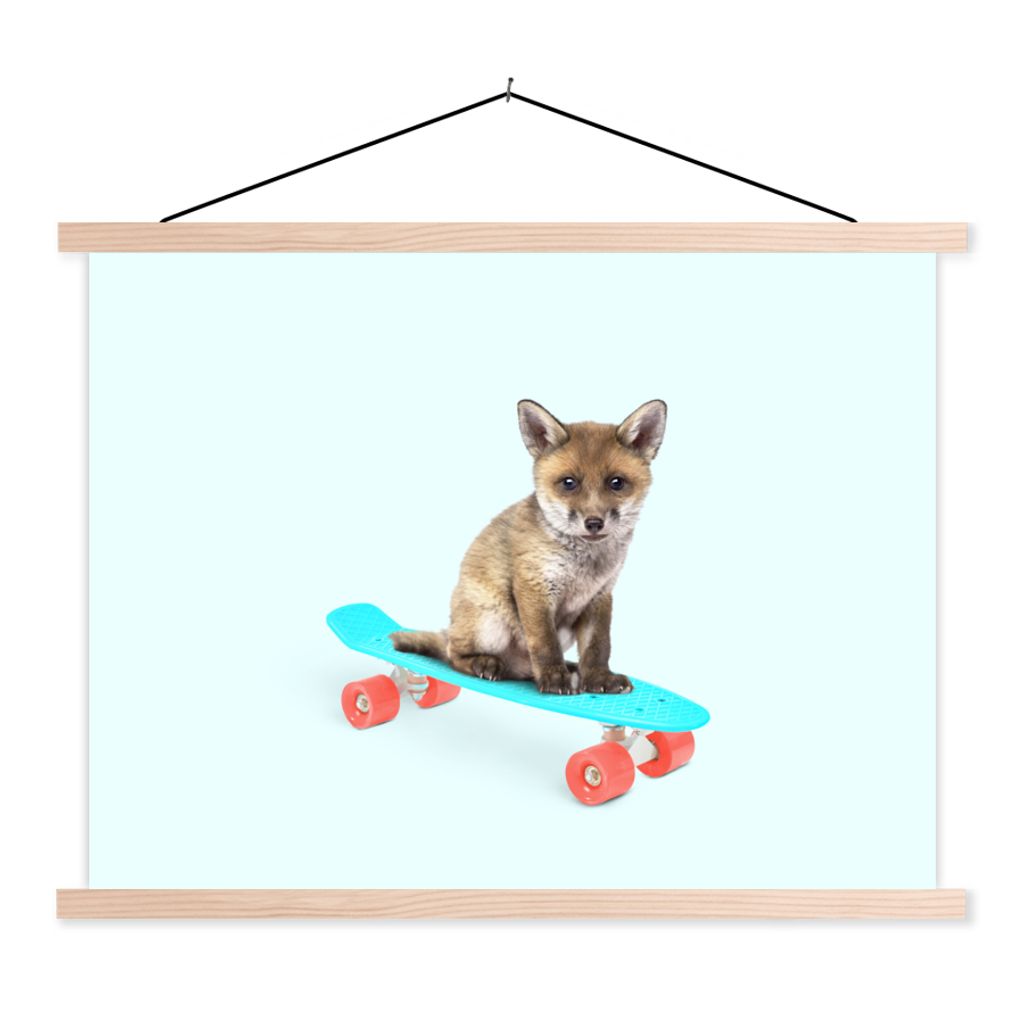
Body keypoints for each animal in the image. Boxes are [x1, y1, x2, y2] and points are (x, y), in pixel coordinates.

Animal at [391, 399, 667, 695]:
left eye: (616, 482)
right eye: (569, 483)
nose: (594, 523)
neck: (584, 566)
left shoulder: (600, 596)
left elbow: (598, 647)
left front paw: (598, 678)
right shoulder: (534, 586)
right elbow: (544, 643)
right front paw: (554, 678)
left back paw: (569, 669)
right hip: (490, 624)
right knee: (454, 654)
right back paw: (485, 663)